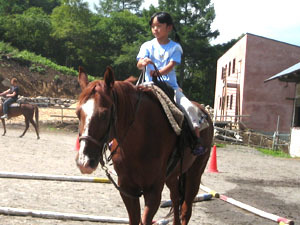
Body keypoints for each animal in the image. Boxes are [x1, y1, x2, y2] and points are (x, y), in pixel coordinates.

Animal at [75, 67, 213, 225]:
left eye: (104, 114)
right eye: (78, 113)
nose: (84, 162)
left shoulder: (153, 191)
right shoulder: (127, 189)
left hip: (194, 174)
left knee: (186, 209)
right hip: (172, 176)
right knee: (176, 197)